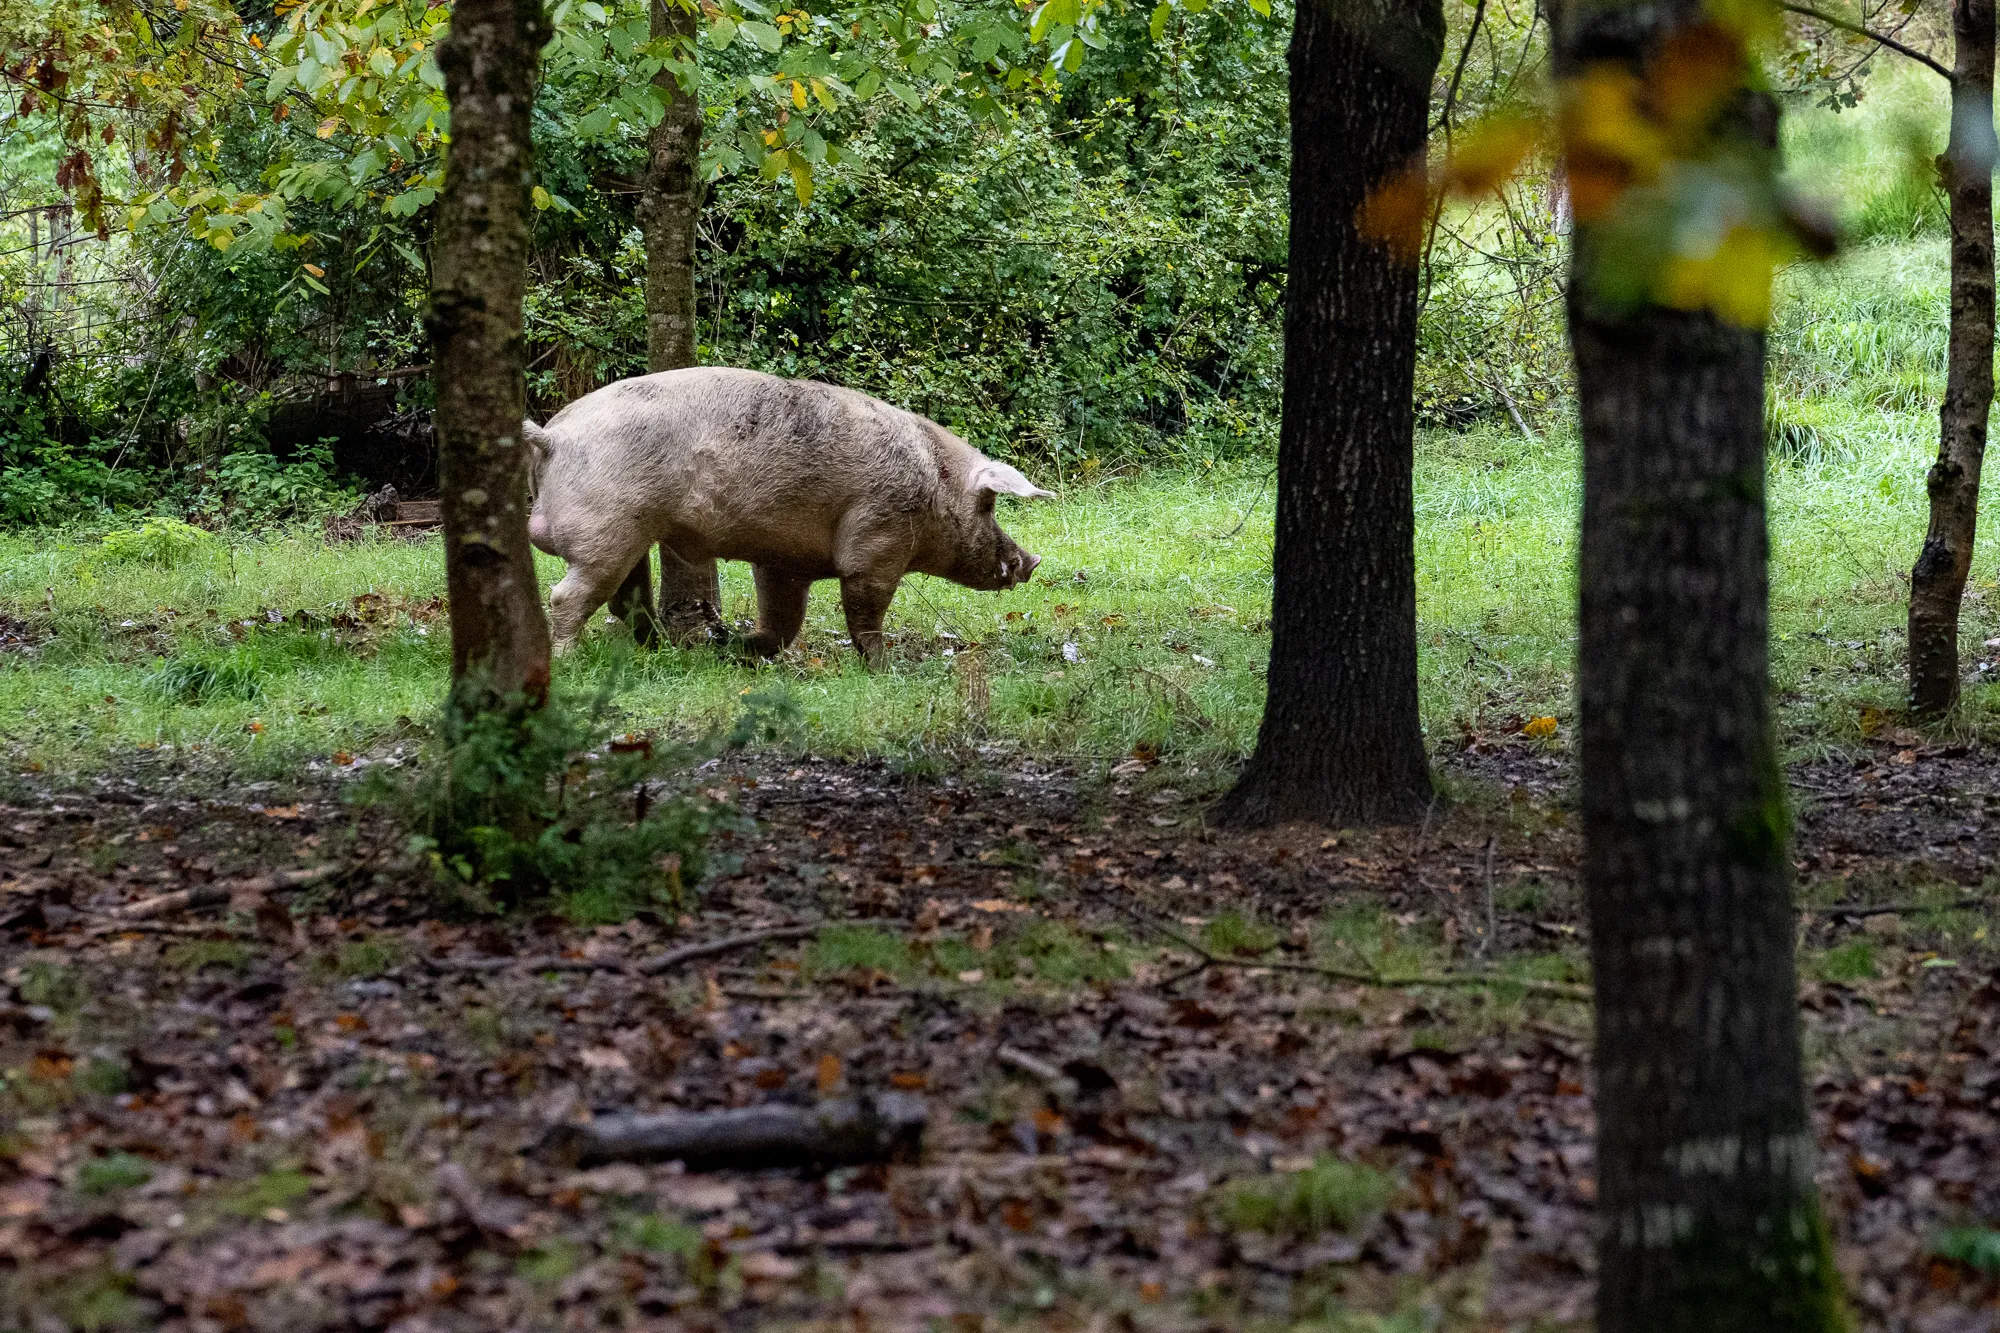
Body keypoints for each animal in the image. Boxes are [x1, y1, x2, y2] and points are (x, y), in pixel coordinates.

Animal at [523, 367, 1053, 667]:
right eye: (989, 504)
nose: (1032, 562)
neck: (934, 485)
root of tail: (554, 437)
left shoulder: (781, 561)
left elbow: (783, 621)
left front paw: (737, 650)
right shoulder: (877, 540)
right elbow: (865, 611)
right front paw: (886, 668)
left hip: (631, 532)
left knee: (627, 600)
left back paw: (663, 650)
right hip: (608, 526)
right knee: (568, 596)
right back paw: (569, 662)